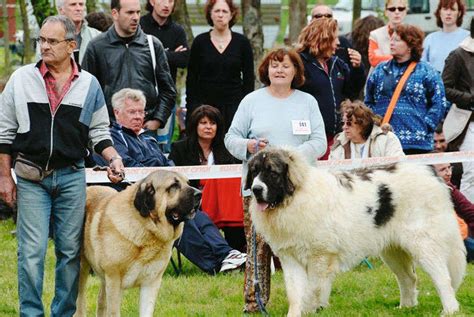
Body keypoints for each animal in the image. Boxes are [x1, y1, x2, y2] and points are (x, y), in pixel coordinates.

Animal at [246, 147, 464, 314]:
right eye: (255, 172)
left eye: (272, 172)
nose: (256, 189)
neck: (294, 198)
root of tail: (432, 174)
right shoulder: (290, 259)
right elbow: (295, 293)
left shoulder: (320, 258)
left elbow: (312, 290)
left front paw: (312, 309)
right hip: (393, 251)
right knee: (409, 278)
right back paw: (406, 308)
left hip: (424, 243)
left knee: (442, 277)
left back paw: (449, 310)